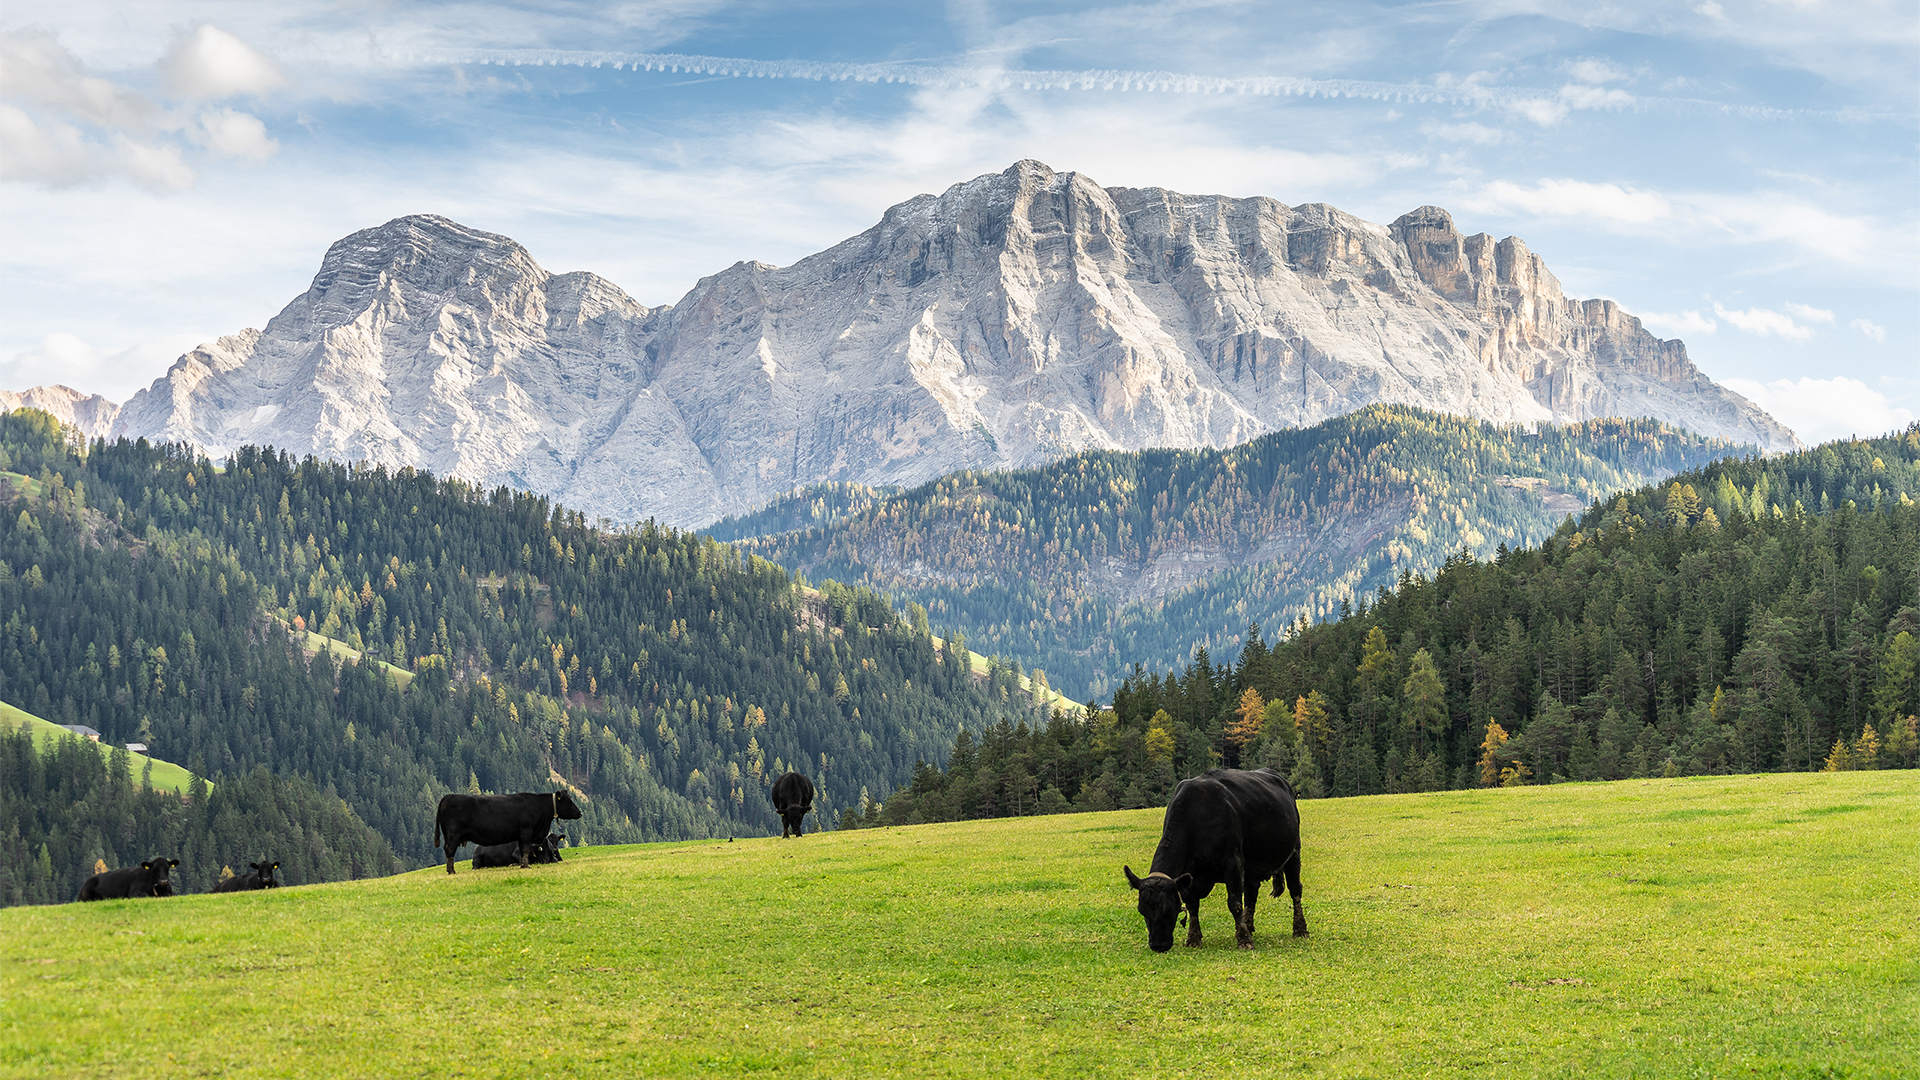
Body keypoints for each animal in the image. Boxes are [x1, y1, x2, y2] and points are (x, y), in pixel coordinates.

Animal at [437, 787, 579, 868]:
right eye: (569, 801)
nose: (580, 813)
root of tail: (448, 796)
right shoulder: (526, 831)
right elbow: (524, 850)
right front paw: (525, 866)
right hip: (453, 834)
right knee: (450, 850)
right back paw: (451, 872)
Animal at [1121, 764, 1305, 949]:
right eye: (1142, 910)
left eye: (1168, 908)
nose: (1158, 945)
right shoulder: (1191, 876)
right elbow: (1192, 905)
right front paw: (1193, 939)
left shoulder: (1233, 862)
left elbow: (1235, 904)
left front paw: (1244, 940)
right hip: (1253, 863)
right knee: (1251, 892)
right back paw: (1248, 925)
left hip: (1294, 851)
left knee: (1295, 889)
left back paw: (1300, 929)